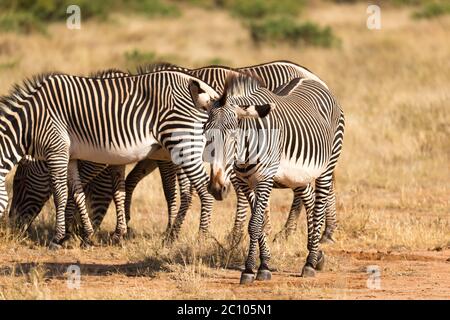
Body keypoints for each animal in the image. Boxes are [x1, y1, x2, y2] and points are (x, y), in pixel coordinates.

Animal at [0, 67, 219, 249]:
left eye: (18, 182)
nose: (11, 228)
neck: (31, 121)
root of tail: (199, 84)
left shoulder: (57, 150)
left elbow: (60, 194)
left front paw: (58, 238)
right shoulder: (70, 157)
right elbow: (78, 193)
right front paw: (87, 236)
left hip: (183, 142)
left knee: (205, 190)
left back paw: (201, 238)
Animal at [200, 72, 344, 282]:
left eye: (233, 135)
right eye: (205, 134)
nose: (217, 189)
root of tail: (312, 80)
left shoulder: (265, 179)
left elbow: (255, 224)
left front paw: (249, 270)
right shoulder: (245, 182)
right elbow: (261, 224)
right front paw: (264, 265)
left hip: (327, 165)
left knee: (318, 209)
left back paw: (310, 263)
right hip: (298, 176)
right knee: (309, 200)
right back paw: (316, 255)